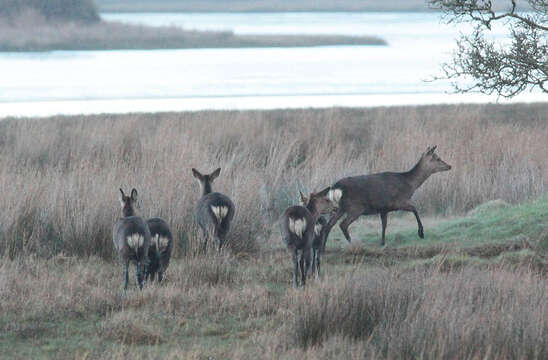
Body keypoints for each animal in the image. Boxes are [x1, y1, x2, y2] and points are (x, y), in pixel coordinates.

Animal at [322, 145, 450, 249]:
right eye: (437, 158)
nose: (449, 166)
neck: (409, 185)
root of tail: (336, 188)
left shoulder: (384, 209)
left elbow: (384, 225)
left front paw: (382, 243)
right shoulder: (398, 202)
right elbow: (415, 209)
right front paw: (421, 233)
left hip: (340, 208)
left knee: (329, 225)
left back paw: (323, 248)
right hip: (355, 207)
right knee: (343, 224)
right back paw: (352, 243)